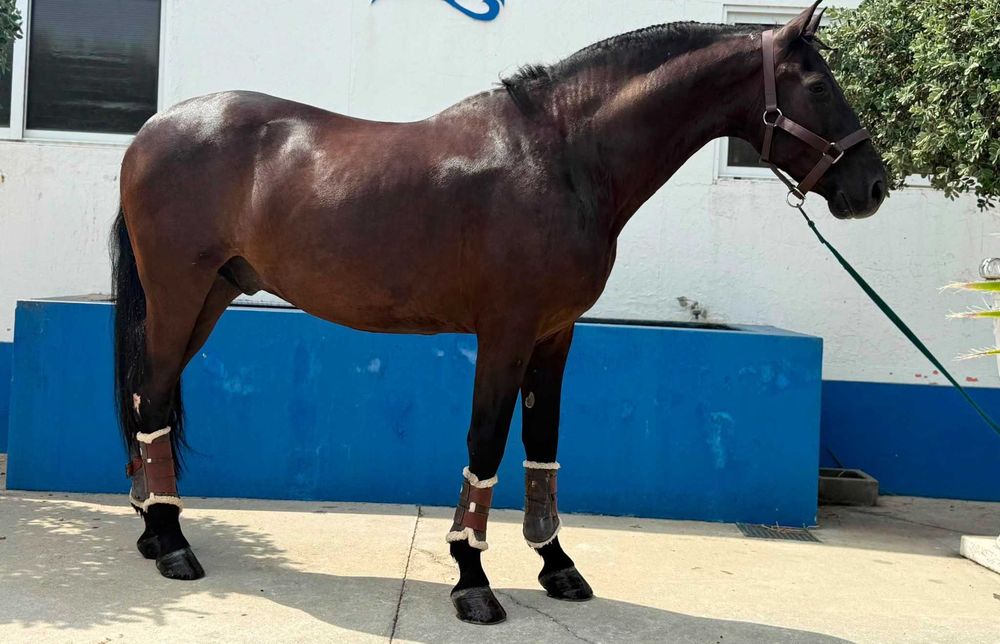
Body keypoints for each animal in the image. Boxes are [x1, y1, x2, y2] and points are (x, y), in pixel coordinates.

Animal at [110, 1, 885, 625]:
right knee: (155, 398)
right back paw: (173, 543)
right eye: (819, 85)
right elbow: (485, 444)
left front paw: (558, 565)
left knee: (149, 395)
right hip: (181, 292)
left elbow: (543, 445)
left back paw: (153, 529)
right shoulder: (505, 333)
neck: (563, 157)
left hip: (210, 295)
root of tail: (150, 132)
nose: (872, 185)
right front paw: (472, 580)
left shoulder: (554, 335)